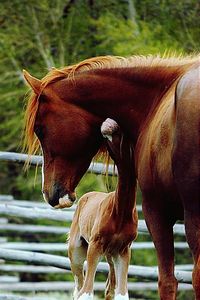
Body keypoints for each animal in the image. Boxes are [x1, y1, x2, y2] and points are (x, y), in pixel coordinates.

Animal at [69, 118, 138, 298]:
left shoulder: (123, 250)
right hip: (76, 250)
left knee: (109, 287)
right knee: (79, 287)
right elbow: (86, 292)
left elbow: (122, 294)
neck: (120, 213)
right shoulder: (95, 245)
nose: (108, 126)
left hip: (110, 254)